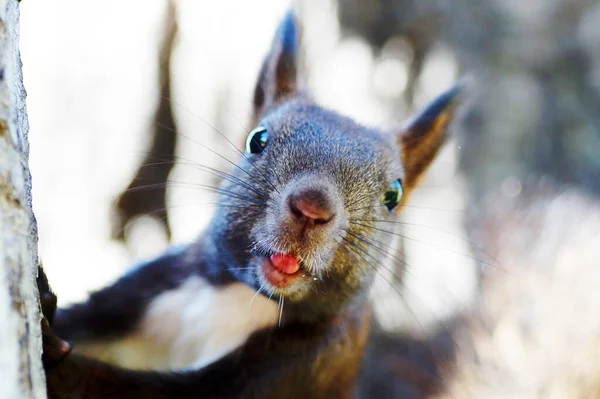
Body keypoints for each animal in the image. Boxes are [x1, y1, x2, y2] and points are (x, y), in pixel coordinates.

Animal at [39, 10, 462, 399]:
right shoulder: (148, 288)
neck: (239, 298)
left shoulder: (302, 366)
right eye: (257, 140)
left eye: (393, 195)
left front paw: (53, 350)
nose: (311, 209)